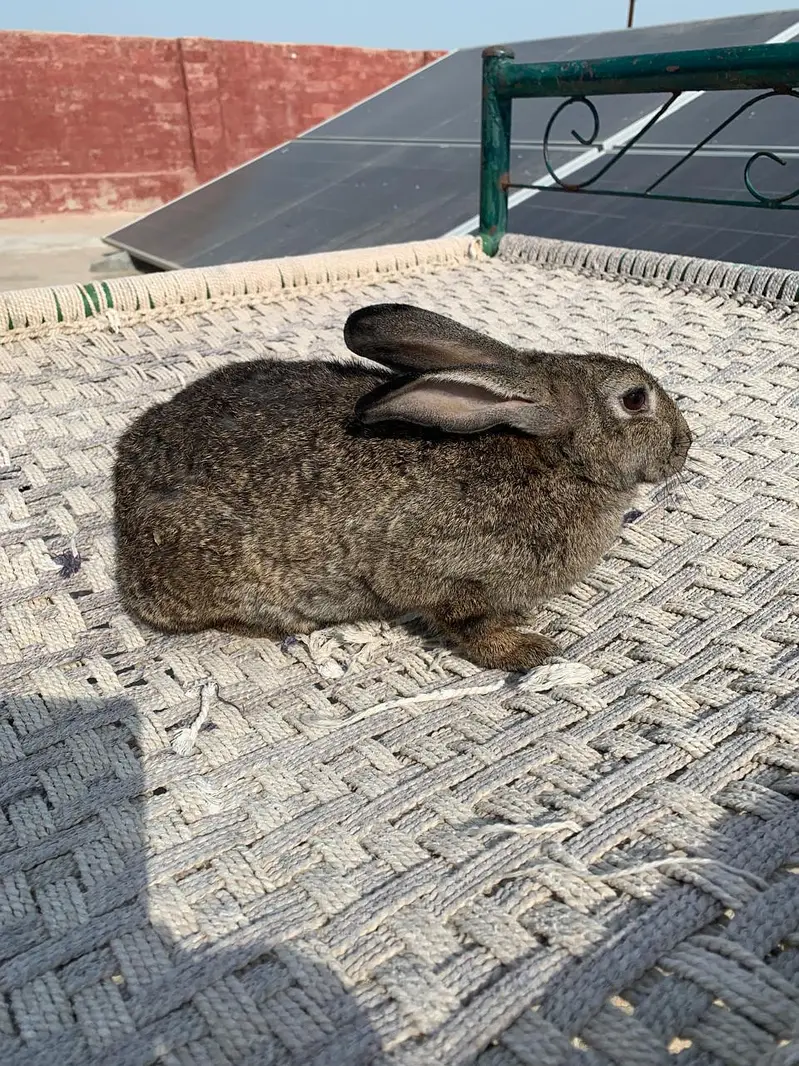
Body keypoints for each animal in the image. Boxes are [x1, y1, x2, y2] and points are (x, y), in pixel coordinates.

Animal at [113, 302, 691, 672]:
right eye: (635, 399)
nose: (685, 444)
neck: (554, 457)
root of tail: (122, 502)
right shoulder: (439, 574)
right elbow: (468, 625)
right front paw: (527, 650)